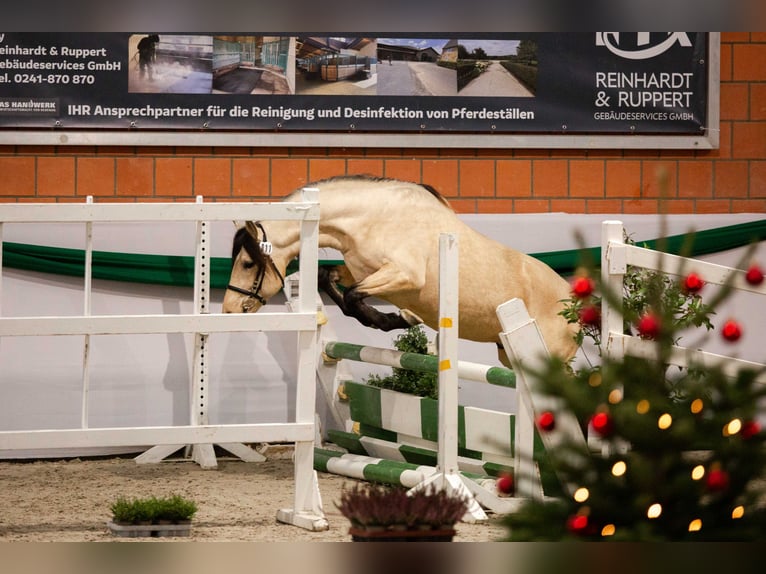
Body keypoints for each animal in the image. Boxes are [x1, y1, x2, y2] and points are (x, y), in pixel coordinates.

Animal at [222, 175, 579, 366]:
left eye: (247, 263)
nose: (228, 309)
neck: (374, 218)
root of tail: (574, 302)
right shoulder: (360, 270)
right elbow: (331, 281)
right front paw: (392, 319)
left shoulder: (402, 275)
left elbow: (353, 297)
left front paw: (401, 318)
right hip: (509, 353)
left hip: (547, 357)